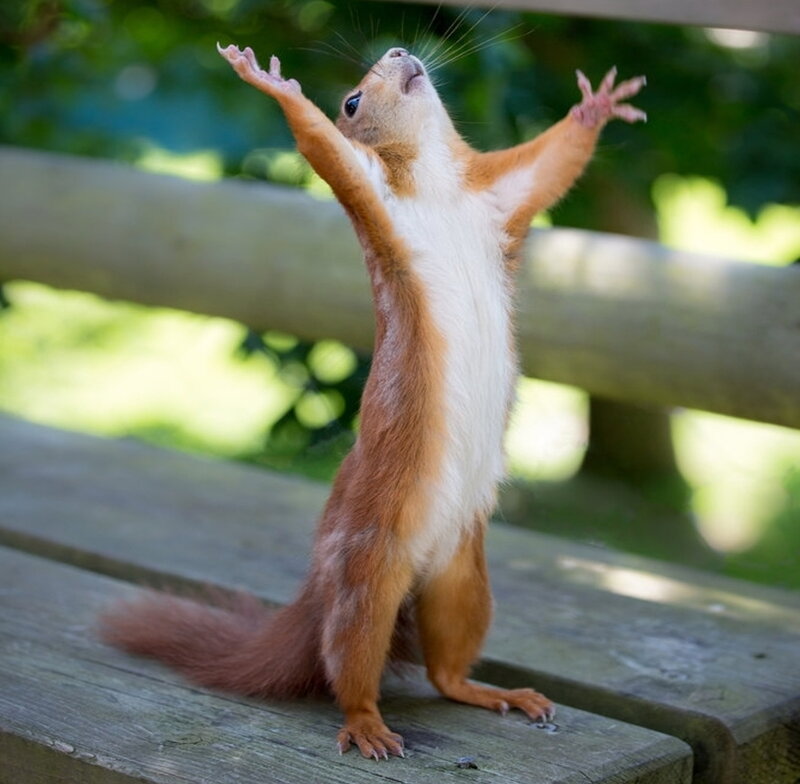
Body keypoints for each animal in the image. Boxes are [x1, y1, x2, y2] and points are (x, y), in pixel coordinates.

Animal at [100, 43, 645, 760]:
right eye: (352, 101)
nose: (398, 51)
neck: (437, 183)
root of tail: (320, 588)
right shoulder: (373, 195)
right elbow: (323, 148)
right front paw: (273, 84)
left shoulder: (501, 195)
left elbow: (551, 163)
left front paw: (596, 106)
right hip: (367, 572)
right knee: (350, 662)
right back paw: (366, 724)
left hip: (463, 579)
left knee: (445, 670)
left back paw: (493, 692)